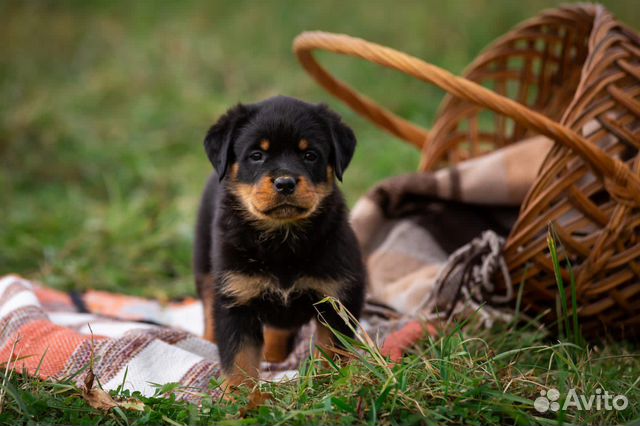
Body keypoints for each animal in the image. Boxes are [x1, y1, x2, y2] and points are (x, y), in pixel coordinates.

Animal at [192, 95, 364, 390]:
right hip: (204, 262)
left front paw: (328, 385)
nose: (285, 183)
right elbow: (239, 359)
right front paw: (238, 397)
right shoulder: (237, 299)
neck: (282, 239)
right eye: (256, 155)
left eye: (310, 155)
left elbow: (332, 350)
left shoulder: (336, 298)